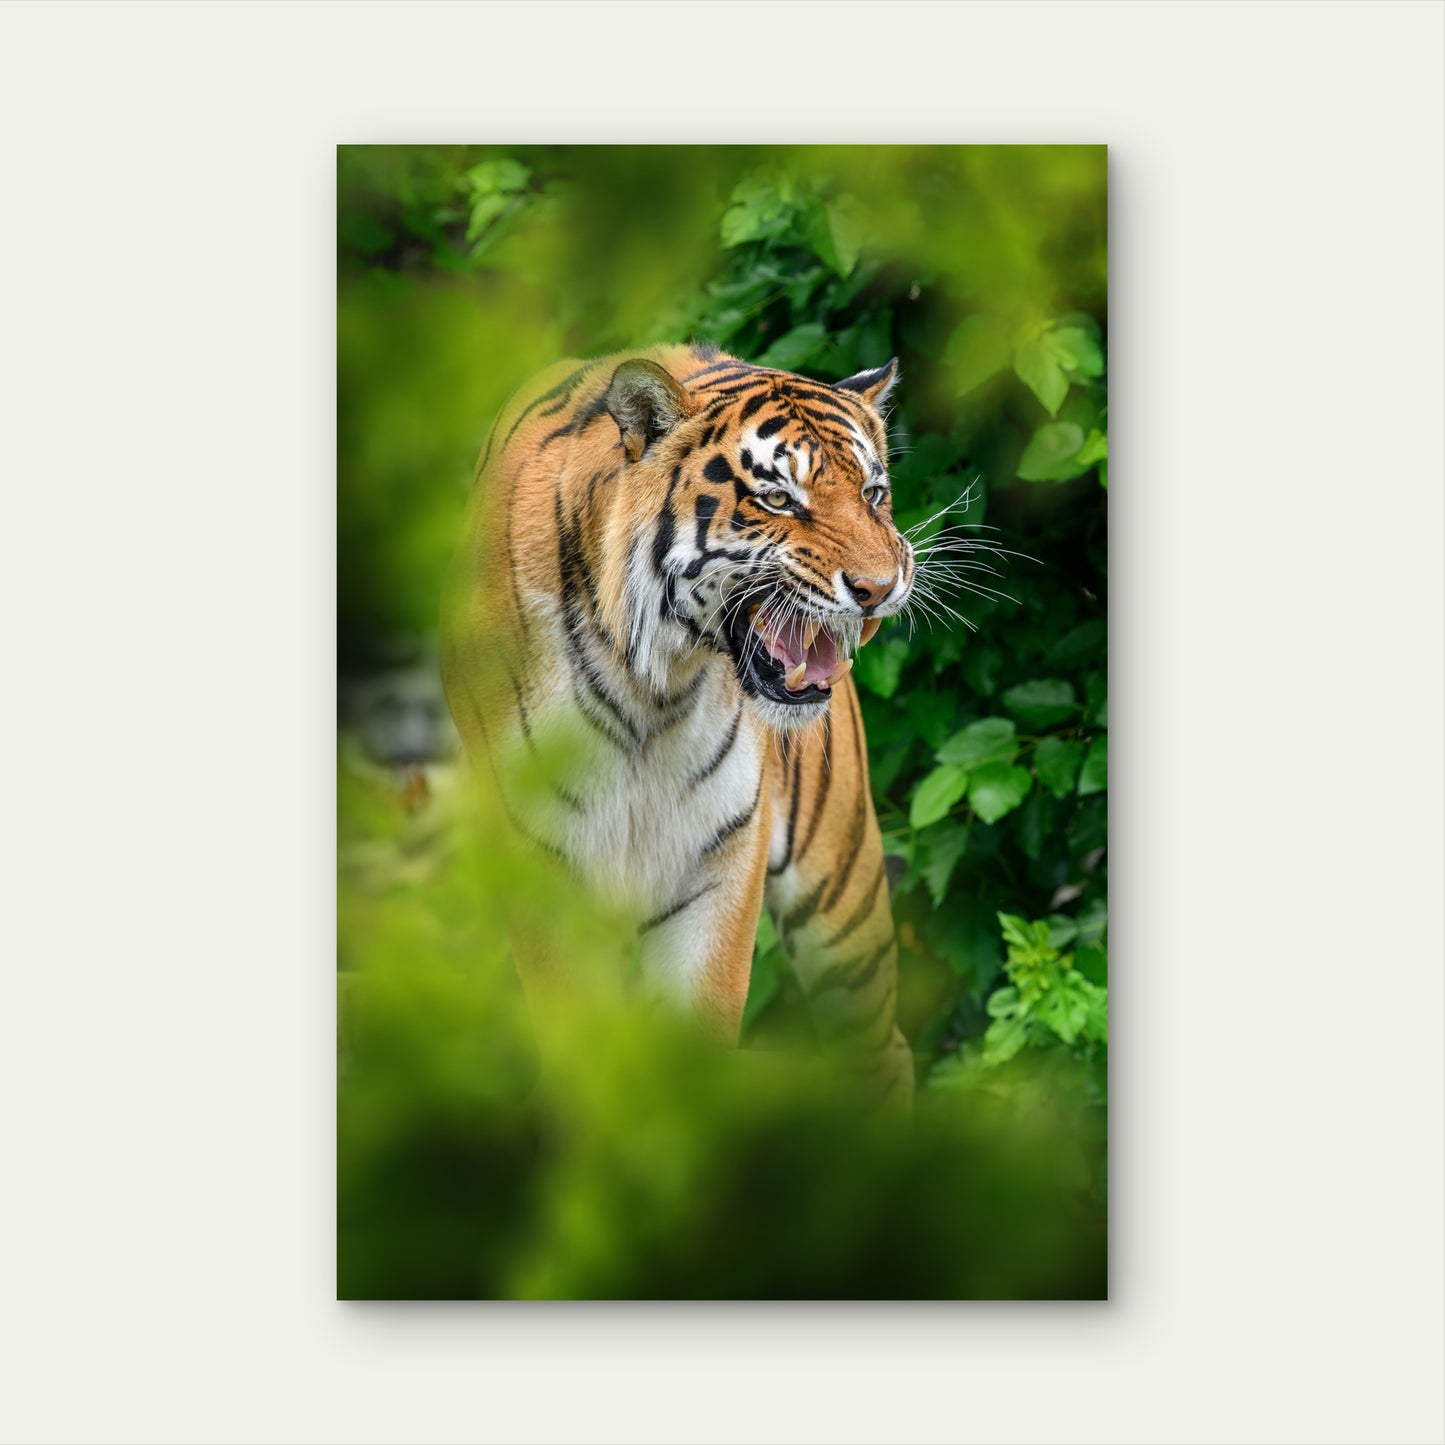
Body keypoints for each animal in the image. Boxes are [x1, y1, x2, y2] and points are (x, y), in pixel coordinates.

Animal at [440, 341, 918, 1104]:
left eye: (873, 493)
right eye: (778, 498)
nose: (881, 587)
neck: (653, 689)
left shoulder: (720, 862)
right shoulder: (544, 869)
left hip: (841, 890)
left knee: (882, 1051)